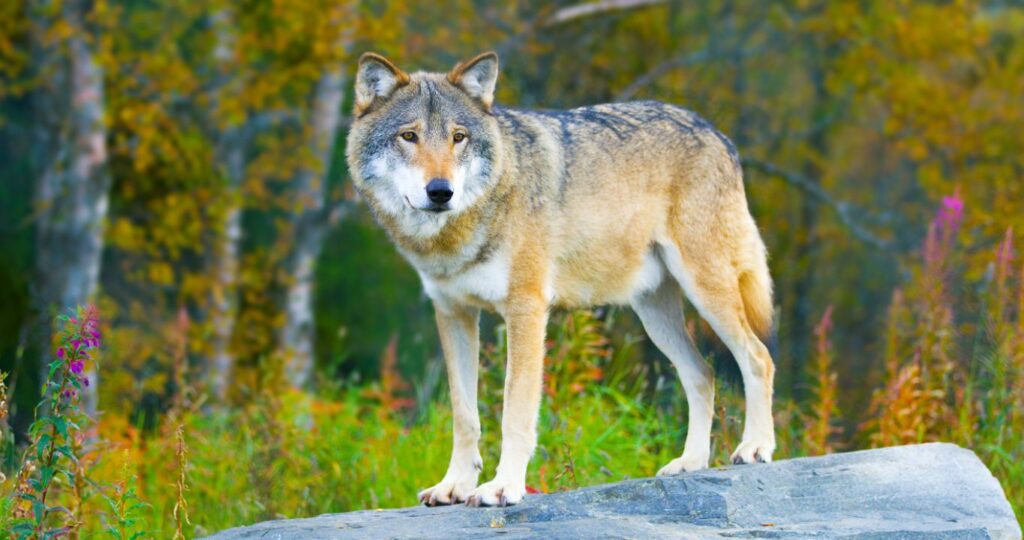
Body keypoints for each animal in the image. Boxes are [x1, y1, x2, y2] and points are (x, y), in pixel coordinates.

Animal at [345, 51, 776, 508]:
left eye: (458, 137)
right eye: (409, 136)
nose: (441, 191)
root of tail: (717, 134)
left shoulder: (527, 310)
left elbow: (515, 411)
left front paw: (503, 486)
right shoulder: (452, 313)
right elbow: (465, 416)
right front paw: (455, 485)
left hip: (706, 291)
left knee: (758, 357)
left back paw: (755, 448)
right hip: (655, 314)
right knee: (703, 374)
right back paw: (690, 463)